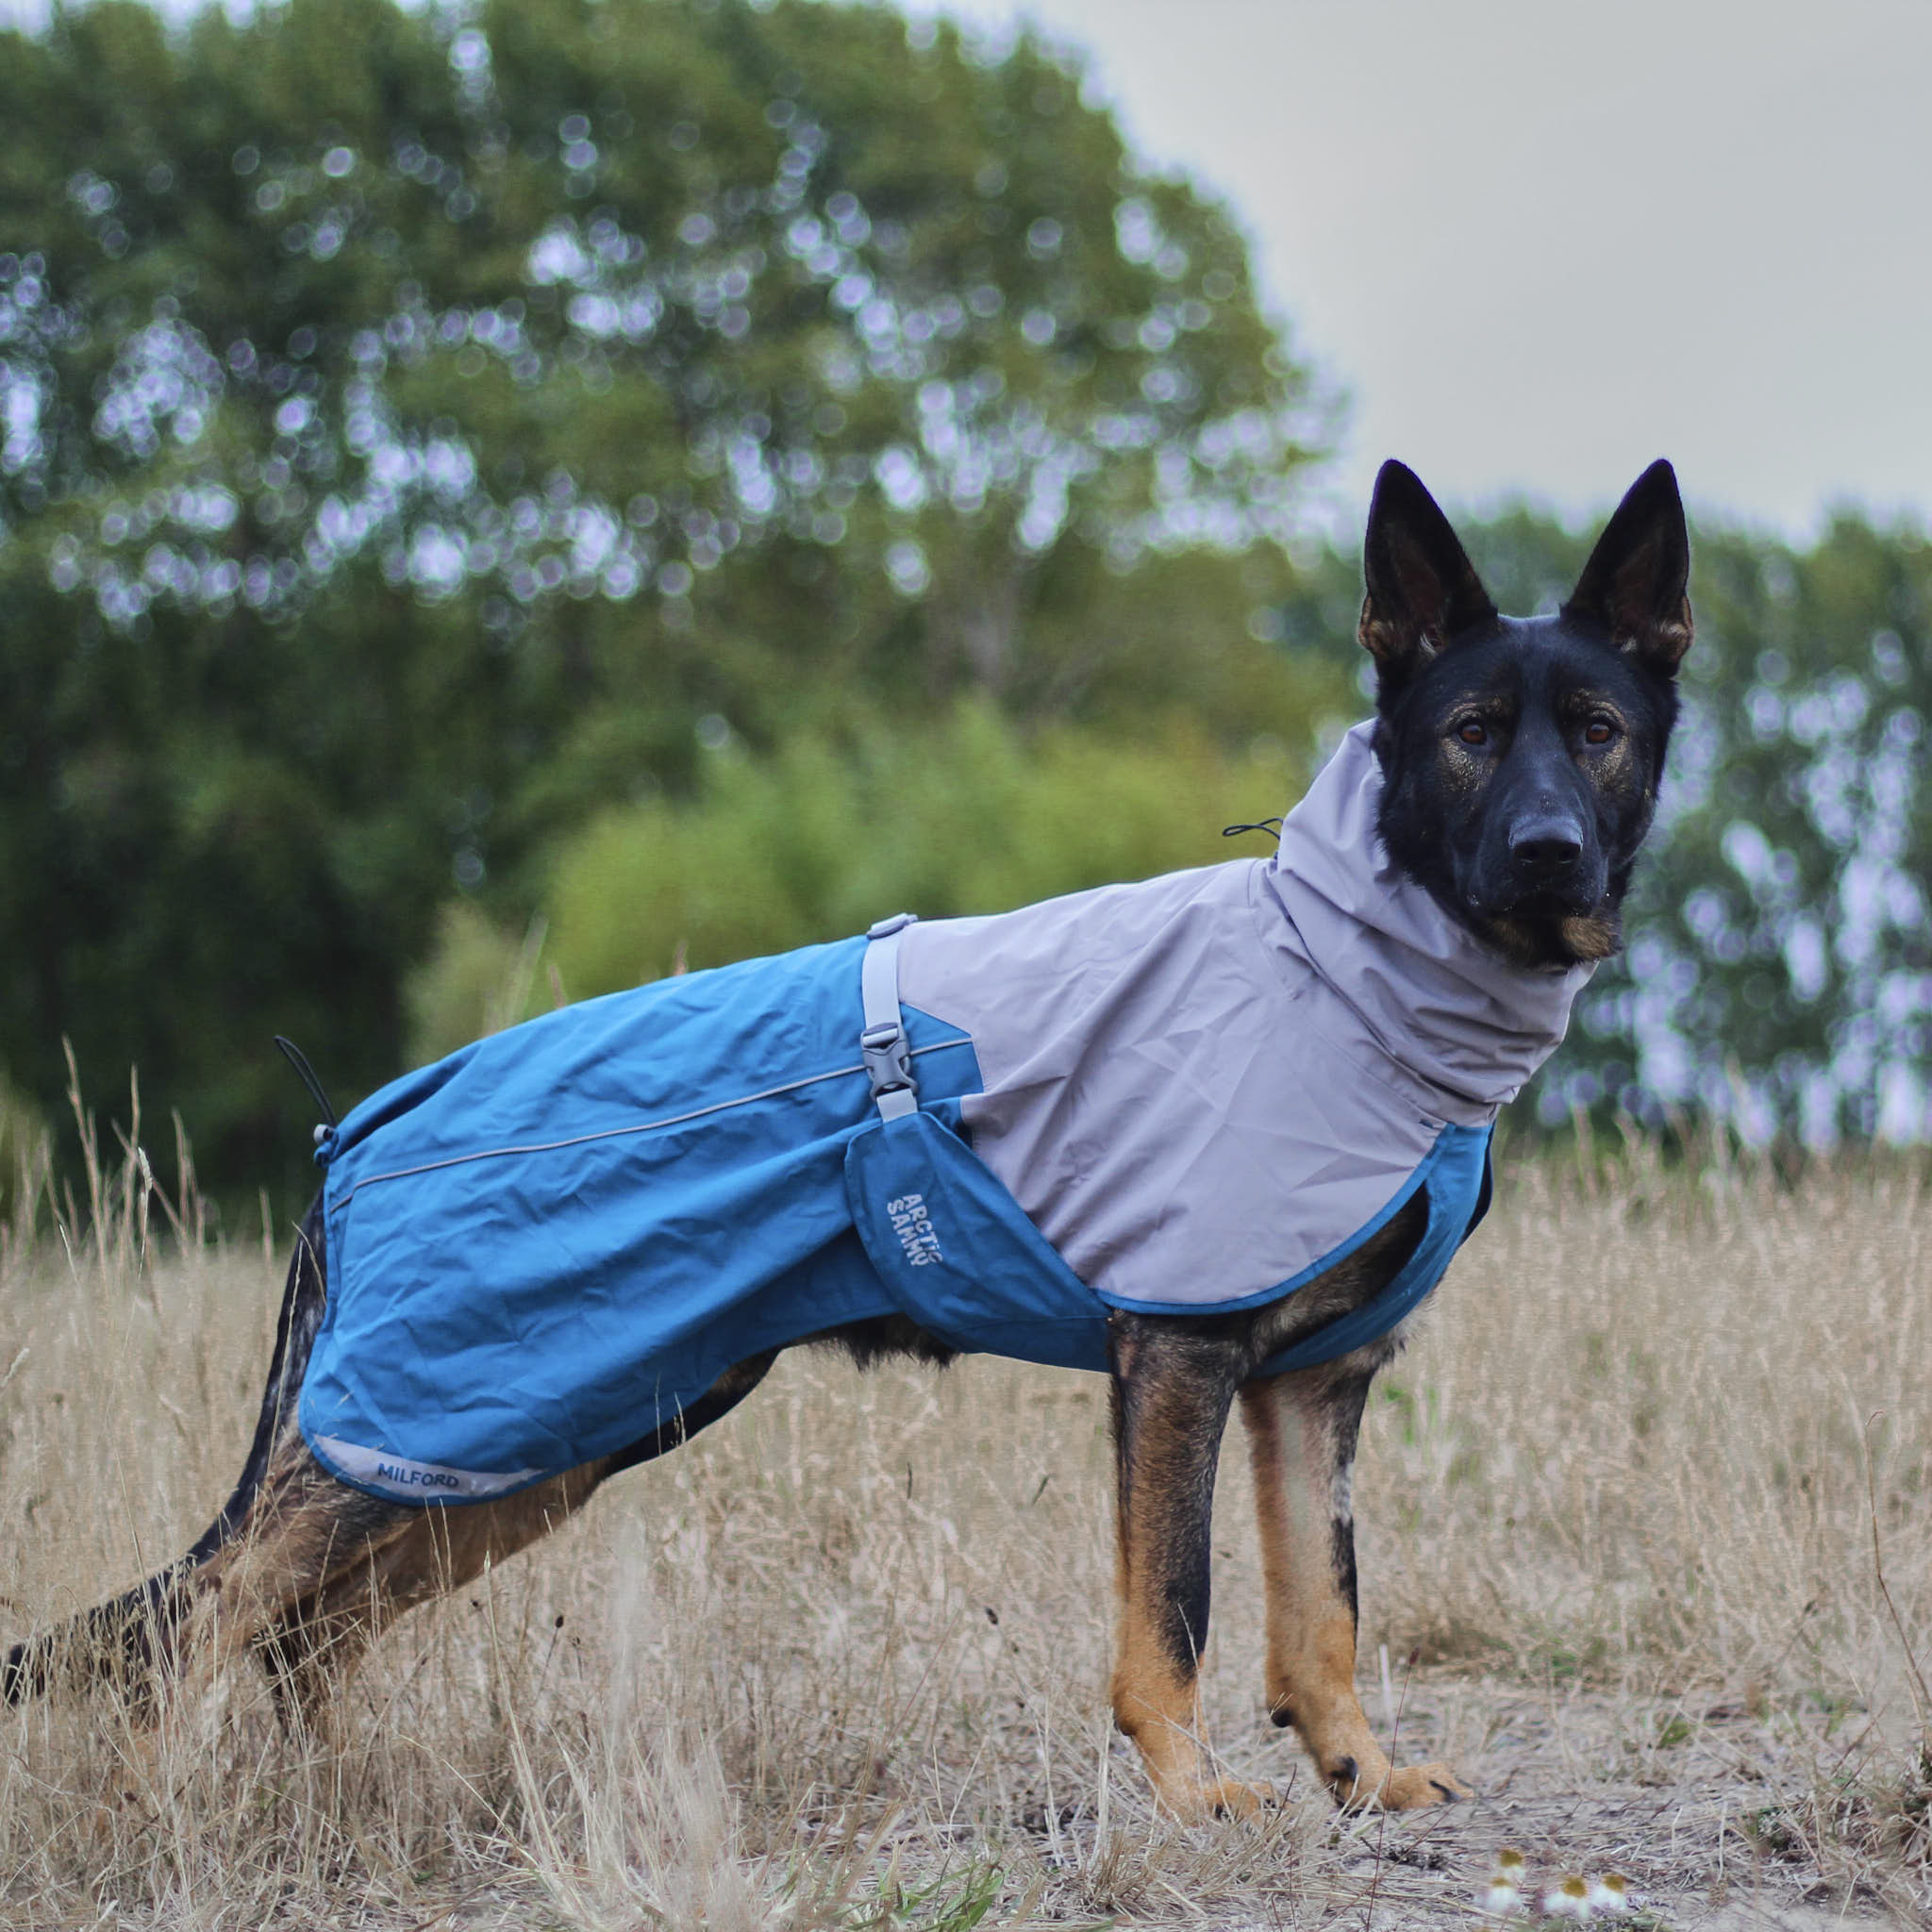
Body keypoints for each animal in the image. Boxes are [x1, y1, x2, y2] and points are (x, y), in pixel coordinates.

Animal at [4, 459, 1692, 1816]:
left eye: (1598, 730)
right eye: (1469, 733)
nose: (1548, 849)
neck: (1344, 965)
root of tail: (354, 1132)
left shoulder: (1313, 1389)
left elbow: (1322, 1611)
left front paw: (1358, 1775)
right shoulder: (1179, 1360)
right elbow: (1177, 1611)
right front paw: (1189, 1796)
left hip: (522, 1446)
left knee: (300, 1636)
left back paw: (335, 1798)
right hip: (440, 1434)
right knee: (202, 1622)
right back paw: (157, 1812)